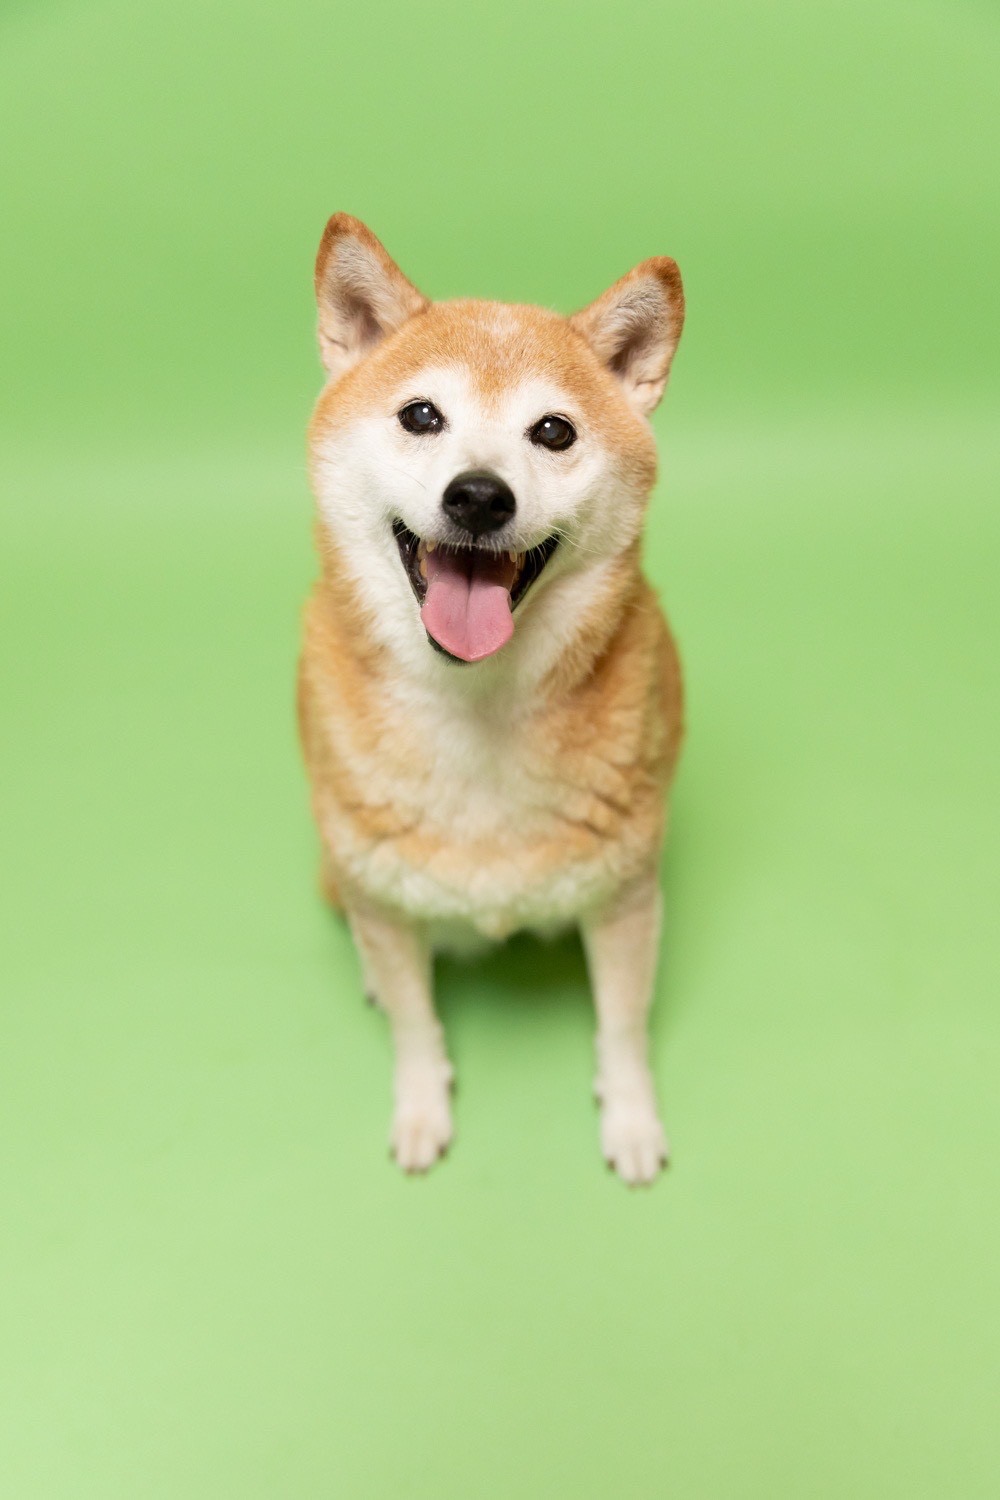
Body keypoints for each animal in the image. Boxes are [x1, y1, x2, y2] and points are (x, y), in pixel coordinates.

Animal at [297, 213, 685, 1184]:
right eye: (421, 415)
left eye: (552, 430)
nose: (478, 495)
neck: (479, 712)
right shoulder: (384, 901)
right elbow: (413, 1027)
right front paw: (421, 1108)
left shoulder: (627, 897)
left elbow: (623, 1029)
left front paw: (631, 1120)